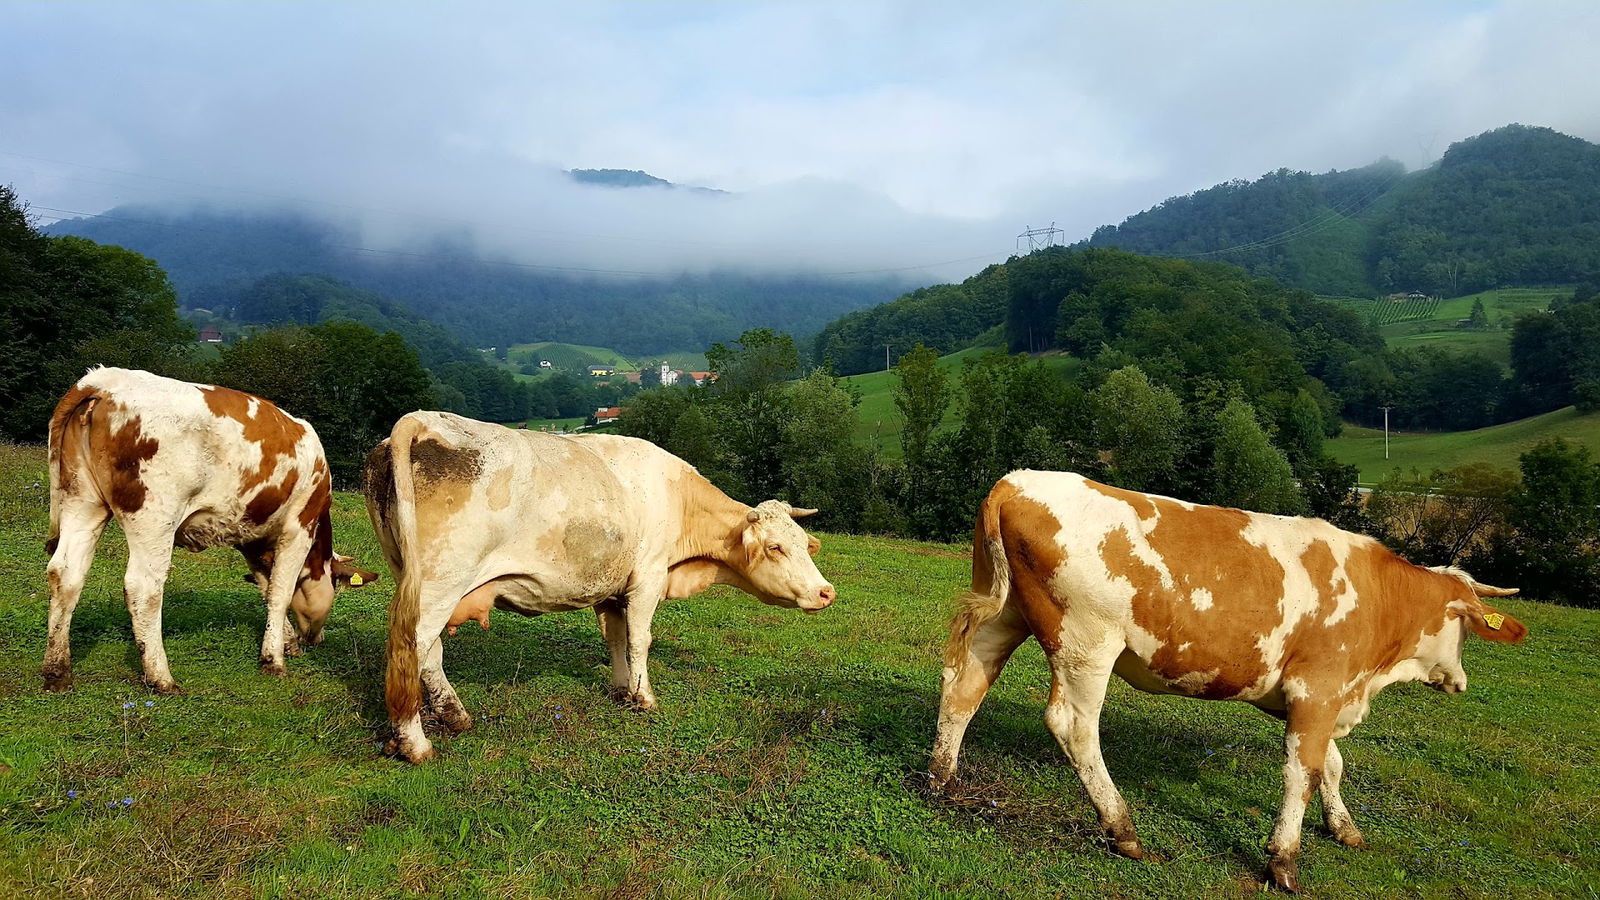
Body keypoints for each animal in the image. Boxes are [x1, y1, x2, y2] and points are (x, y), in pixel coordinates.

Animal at [43, 368, 374, 688]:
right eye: (335, 587)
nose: (317, 639)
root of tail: (106, 380)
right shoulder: (299, 527)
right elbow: (280, 592)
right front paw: (274, 660)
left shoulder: (251, 538)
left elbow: (266, 588)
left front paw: (286, 641)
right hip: (155, 516)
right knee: (143, 587)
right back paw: (161, 678)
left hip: (82, 502)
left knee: (65, 573)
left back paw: (57, 671)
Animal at [364, 409, 838, 759]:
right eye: (776, 547)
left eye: (804, 543)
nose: (826, 592)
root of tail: (422, 421)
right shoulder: (648, 576)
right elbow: (640, 638)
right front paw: (644, 697)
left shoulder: (612, 587)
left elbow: (615, 637)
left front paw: (620, 688)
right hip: (442, 580)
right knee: (412, 645)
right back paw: (415, 743)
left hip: (410, 574)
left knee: (429, 652)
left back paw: (455, 716)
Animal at [934, 470, 1529, 890]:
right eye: (1465, 626)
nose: (1460, 682)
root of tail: (1015, 483)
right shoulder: (1318, 687)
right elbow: (1303, 771)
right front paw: (1283, 862)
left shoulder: (1313, 696)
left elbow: (1331, 765)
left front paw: (1344, 828)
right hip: (1086, 639)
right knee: (1073, 726)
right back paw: (1122, 829)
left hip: (1004, 614)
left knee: (963, 685)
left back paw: (942, 778)